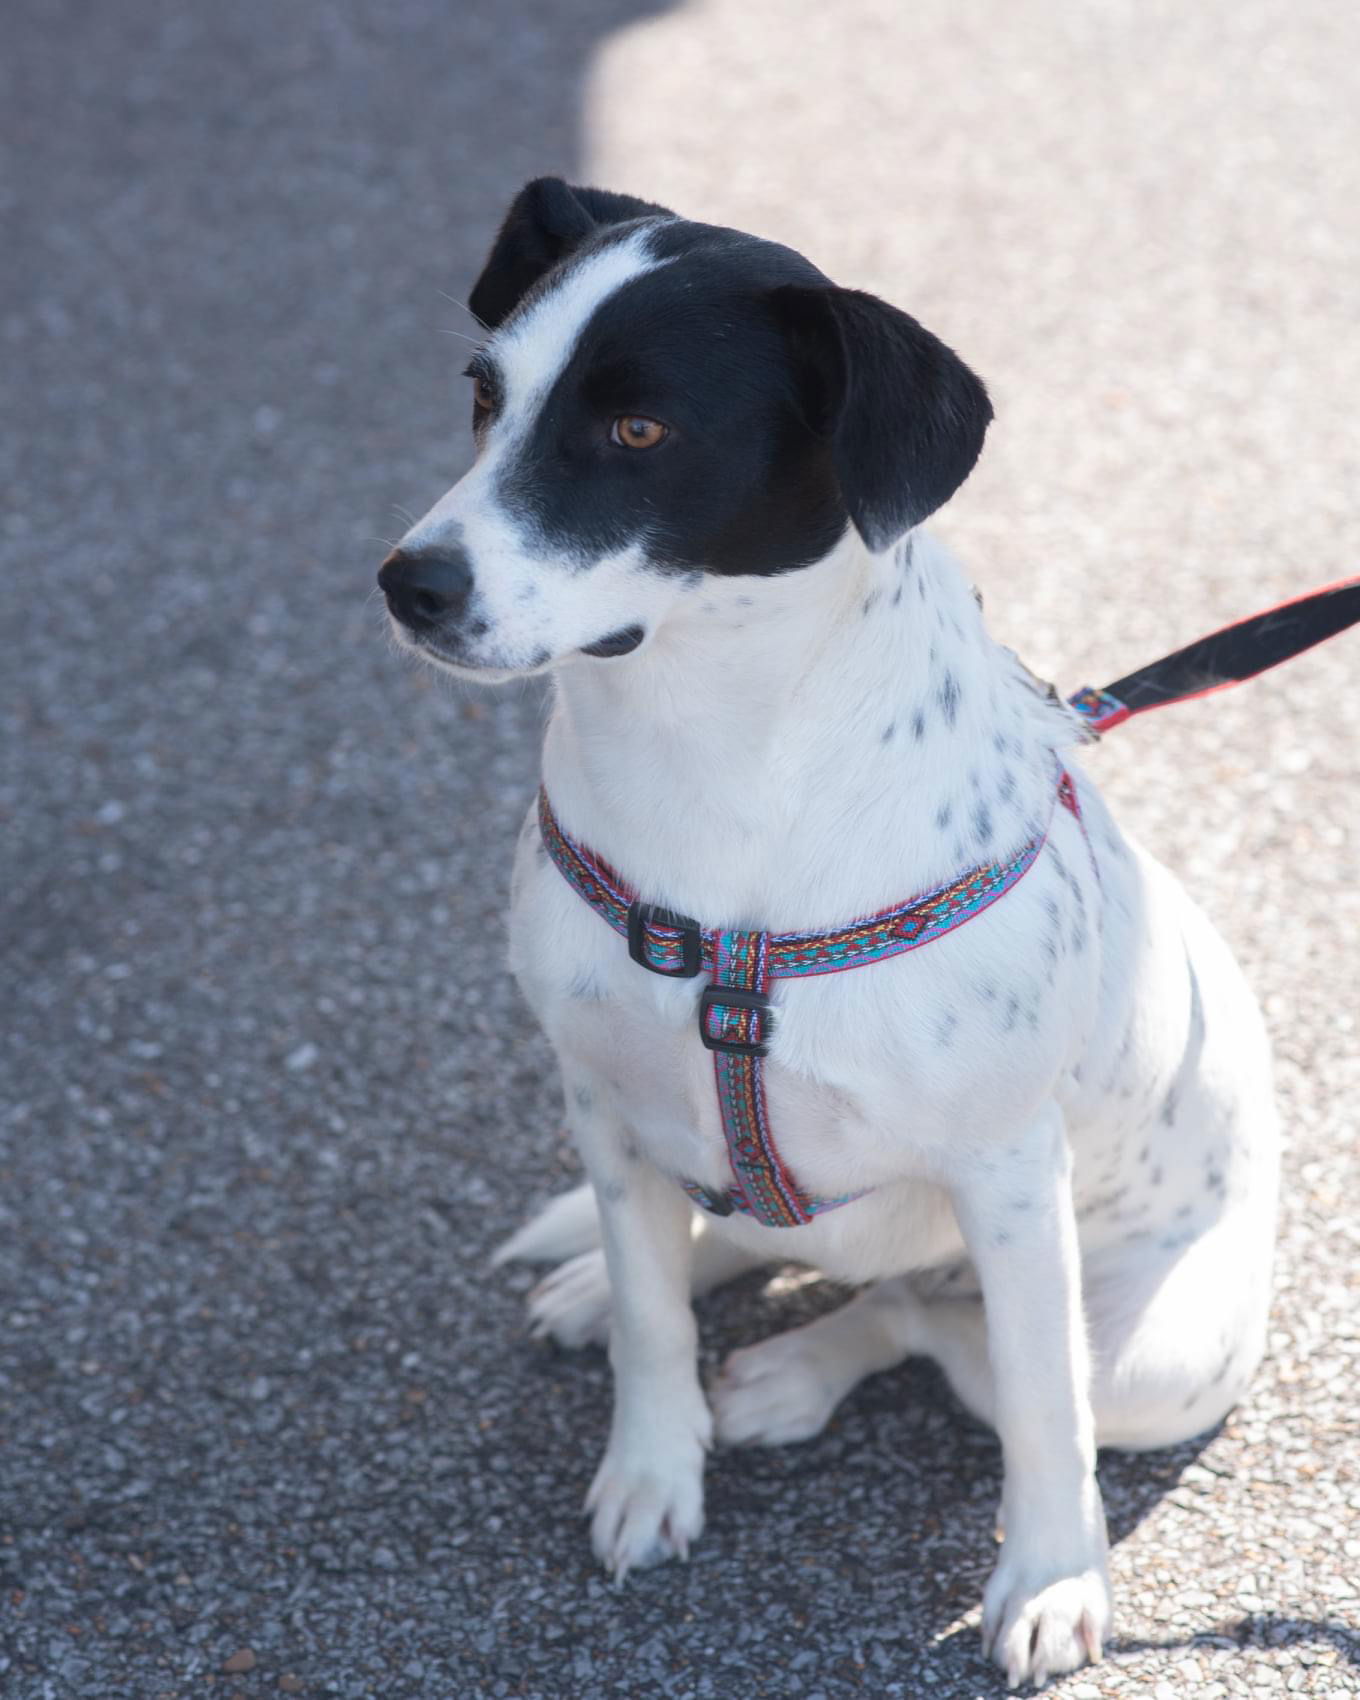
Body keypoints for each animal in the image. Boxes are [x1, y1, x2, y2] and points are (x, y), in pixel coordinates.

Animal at [377, 179, 1278, 1693]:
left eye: (637, 430)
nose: (408, 582)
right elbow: (652, 1318)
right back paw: (615, 1283)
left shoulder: (1009, 1175)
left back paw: (794, 1373)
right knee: (749, 1244)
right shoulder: (601, 1098)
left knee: (935, 1323)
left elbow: (1041, 1407)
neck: (713, 767)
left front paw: (1051, 1573)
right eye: (484, 394)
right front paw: (651, 1460)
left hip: (1160, 1353)